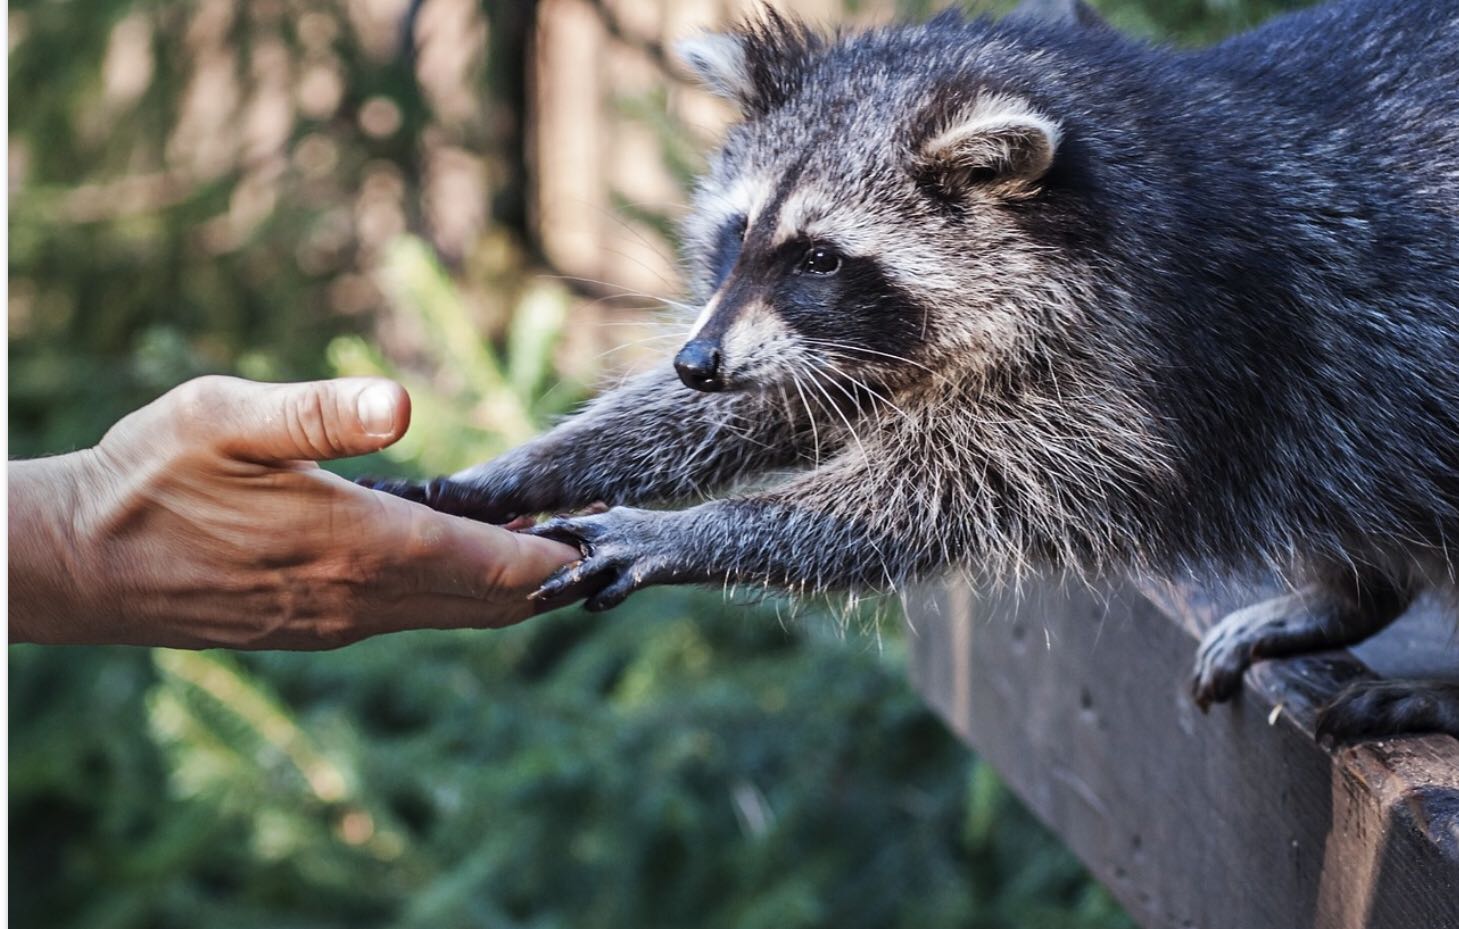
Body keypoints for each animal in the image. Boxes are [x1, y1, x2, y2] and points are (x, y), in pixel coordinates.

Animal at [370, 0, 1459, 737]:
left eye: (818, 256)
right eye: (737, 233)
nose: (694, 362)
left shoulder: (1142, 365)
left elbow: (938, 492)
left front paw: (691, 529)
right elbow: (782, 400)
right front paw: (526, 465)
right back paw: (1347, 594)